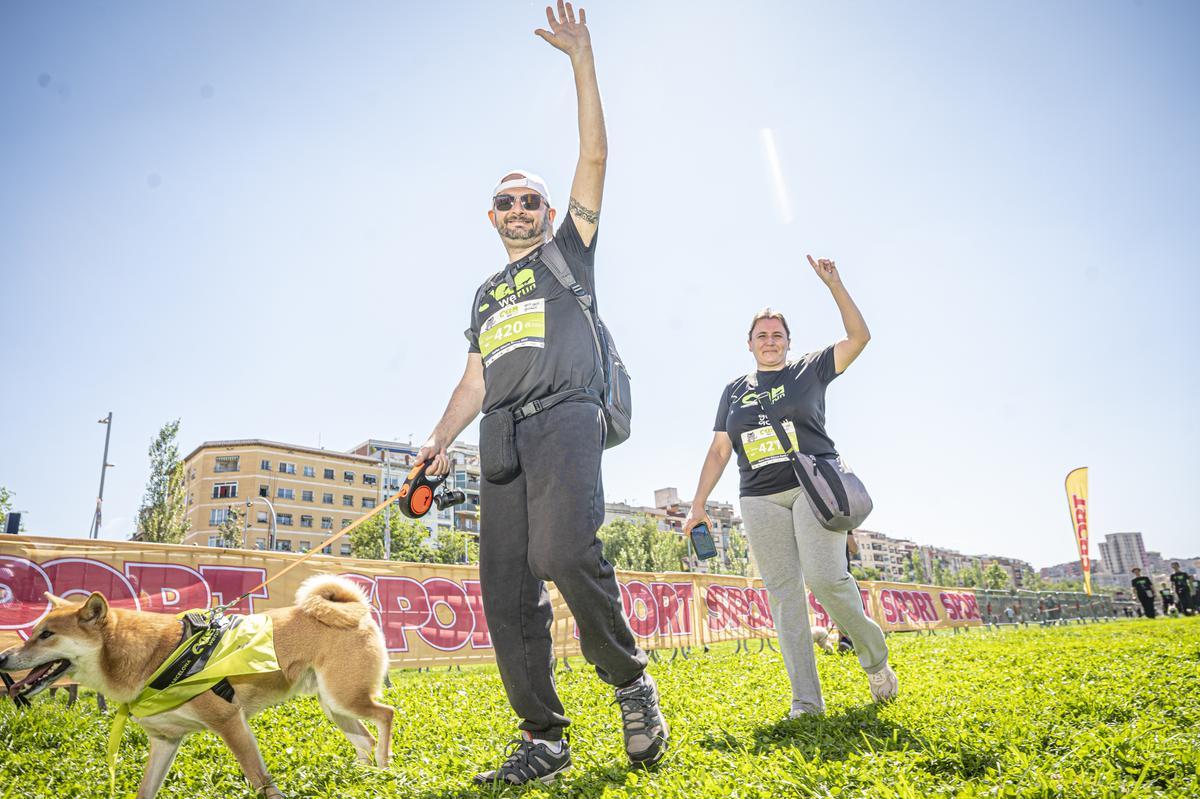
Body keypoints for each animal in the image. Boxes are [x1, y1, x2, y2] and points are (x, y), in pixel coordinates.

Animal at [0, 573, 391, 796]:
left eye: (46, 635)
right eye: (33, 632)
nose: (3, 657)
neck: (152, 656)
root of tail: (356, 612)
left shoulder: (231, 723)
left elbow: (262, 783)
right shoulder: (164, 740)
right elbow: (146, 790)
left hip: (346, 697)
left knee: (385, 715)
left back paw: (386, 769)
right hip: (335, 705)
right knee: (365, 739)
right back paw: (365, 777)